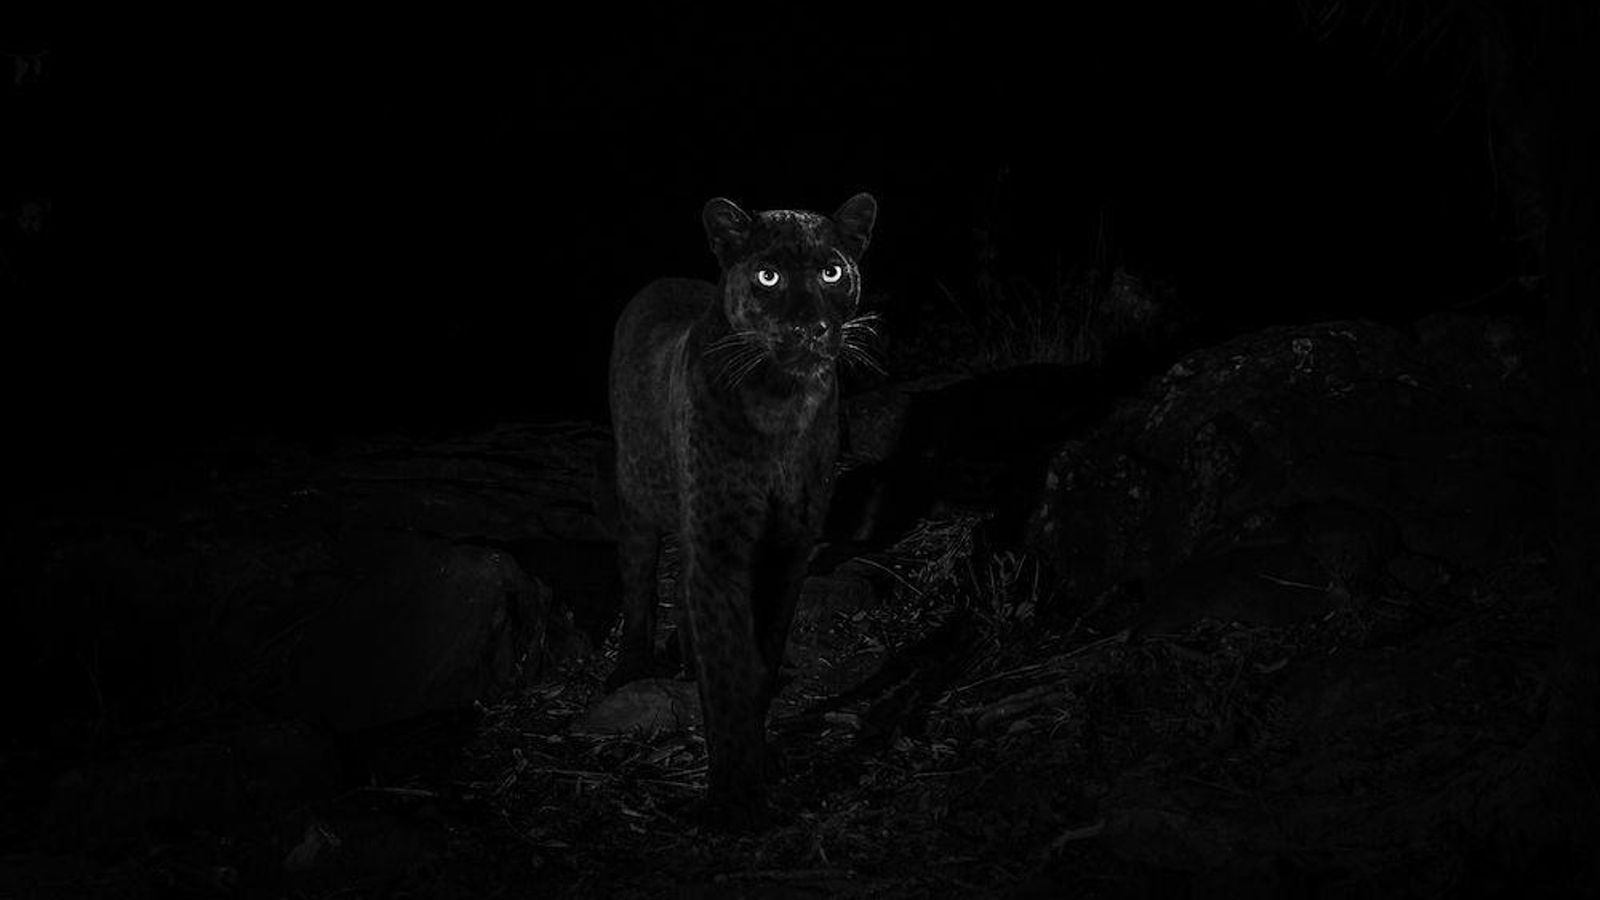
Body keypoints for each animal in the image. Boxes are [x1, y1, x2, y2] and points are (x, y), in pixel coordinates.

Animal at [607, 192, 879, 829]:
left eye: (833, 272)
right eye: (768, 276)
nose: (810, 327)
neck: (781, 402)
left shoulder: (789, 545)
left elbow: (763, 653)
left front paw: (760, 757)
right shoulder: (719, 543)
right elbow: (730, 661)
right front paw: (736, 798)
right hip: (637, 497)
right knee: (638, 578)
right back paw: (633, 665)